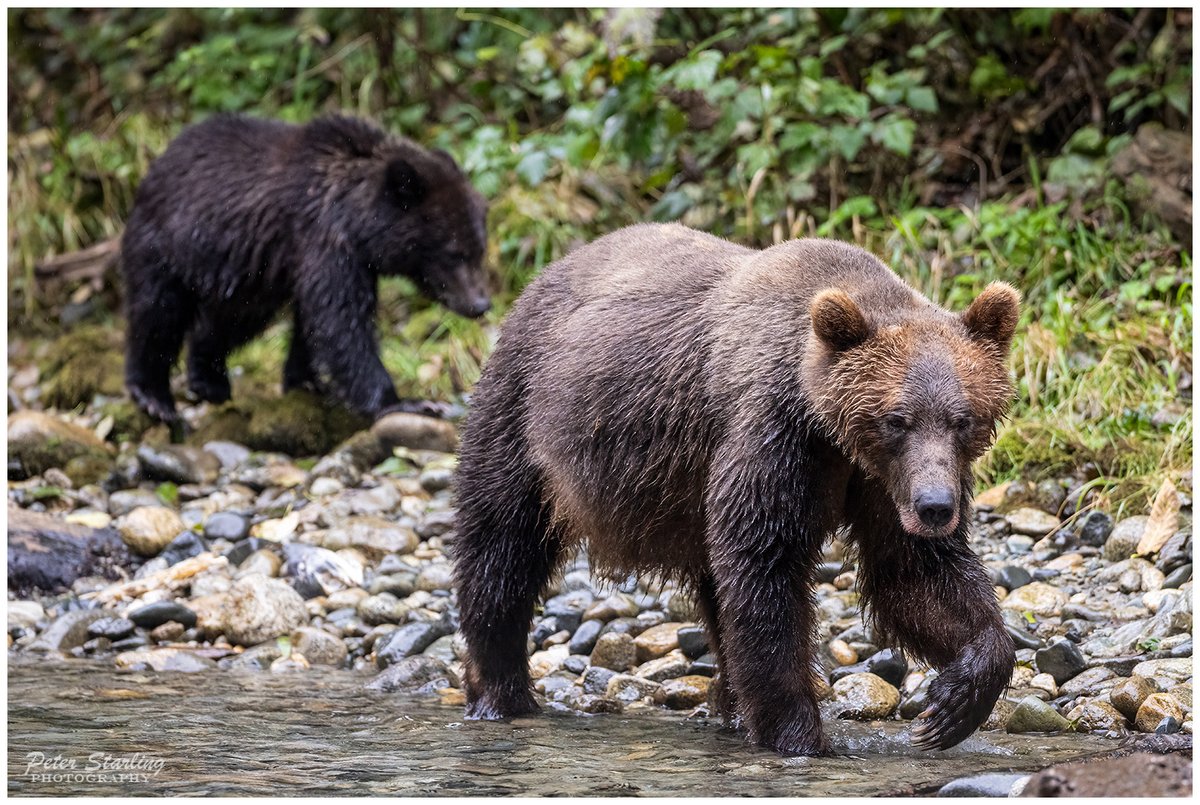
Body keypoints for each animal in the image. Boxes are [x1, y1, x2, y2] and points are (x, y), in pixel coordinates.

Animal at [120, 113, 490, 424]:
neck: (358, 222)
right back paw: (153, 396)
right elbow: (340, 321)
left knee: (234, 318)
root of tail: (155, 166)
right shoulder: (324, 239)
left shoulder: (335, 258)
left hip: (248, 272)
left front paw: (307, 382)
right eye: (454, 253)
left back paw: (209, 381)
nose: (480, 304)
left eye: (479, 249)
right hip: (168, 245)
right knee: (158, 312)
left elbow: (317, 322)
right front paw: (405, 402)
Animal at [453, 223, 1020, 756]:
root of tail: (545, 273)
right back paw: (502, 693)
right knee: (501, 545)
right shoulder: (774, 435)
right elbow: (765, 566)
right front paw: (800, 735)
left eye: (962, 419)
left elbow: (914, 572)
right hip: (523, 411)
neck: (832, 430)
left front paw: (955, 702)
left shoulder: (882, 482)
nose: (935, 507)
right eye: (896, 420)